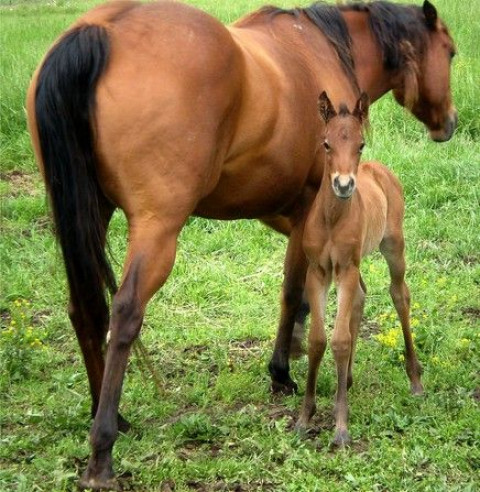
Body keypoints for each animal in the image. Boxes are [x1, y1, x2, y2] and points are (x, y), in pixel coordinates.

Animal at [296, 91, 424, 446]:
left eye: (360, 144)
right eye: (326, 144)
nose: (343, 185)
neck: (331, 218)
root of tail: (379, 170)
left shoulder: (346, 269)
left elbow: (339, 340)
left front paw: (341, 426)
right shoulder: (319, 272)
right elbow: (316, 340)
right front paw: (304, 417)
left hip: (392, 246)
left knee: (399, 295)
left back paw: (415, 380)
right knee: (360, 299)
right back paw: (349, 379)